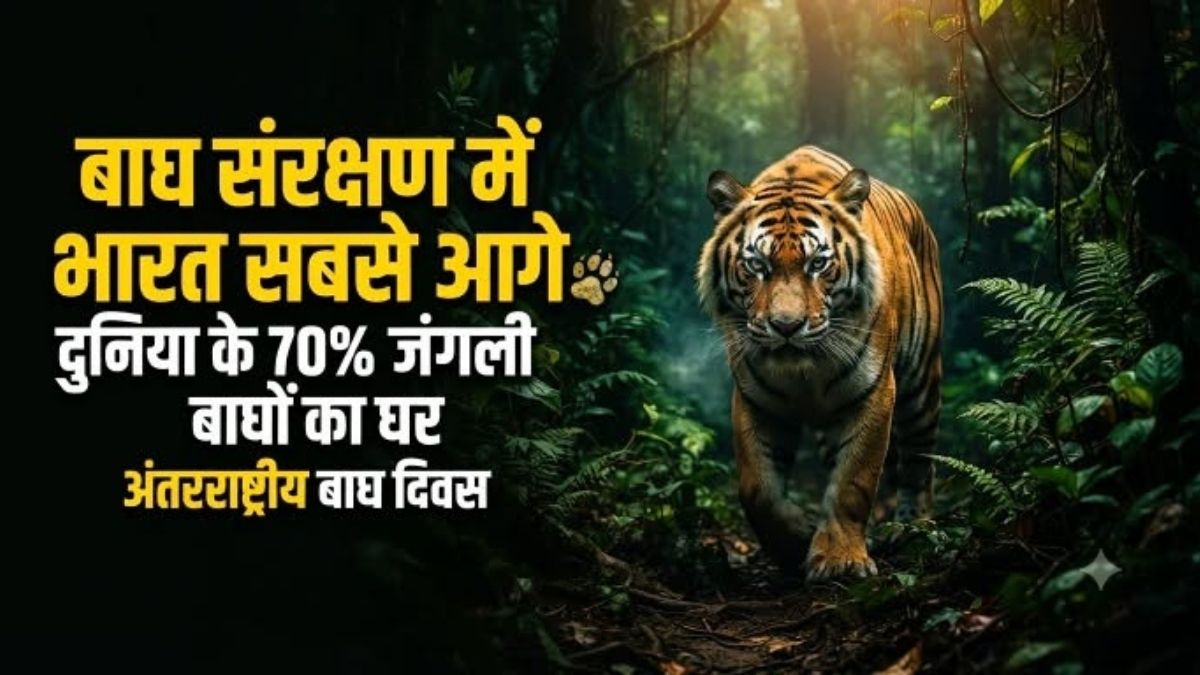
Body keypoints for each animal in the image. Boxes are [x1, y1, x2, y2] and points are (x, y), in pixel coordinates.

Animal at [696, 145, 943, 580]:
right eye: (757, 265)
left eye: (817, 264)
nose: (786, 325)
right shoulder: (755, 400)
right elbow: (757, 488)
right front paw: (795, 541)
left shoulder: (875, 392)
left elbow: (853, 482)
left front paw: (841, 559)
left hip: (921, 387)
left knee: (919, 463)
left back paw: (913, 529)